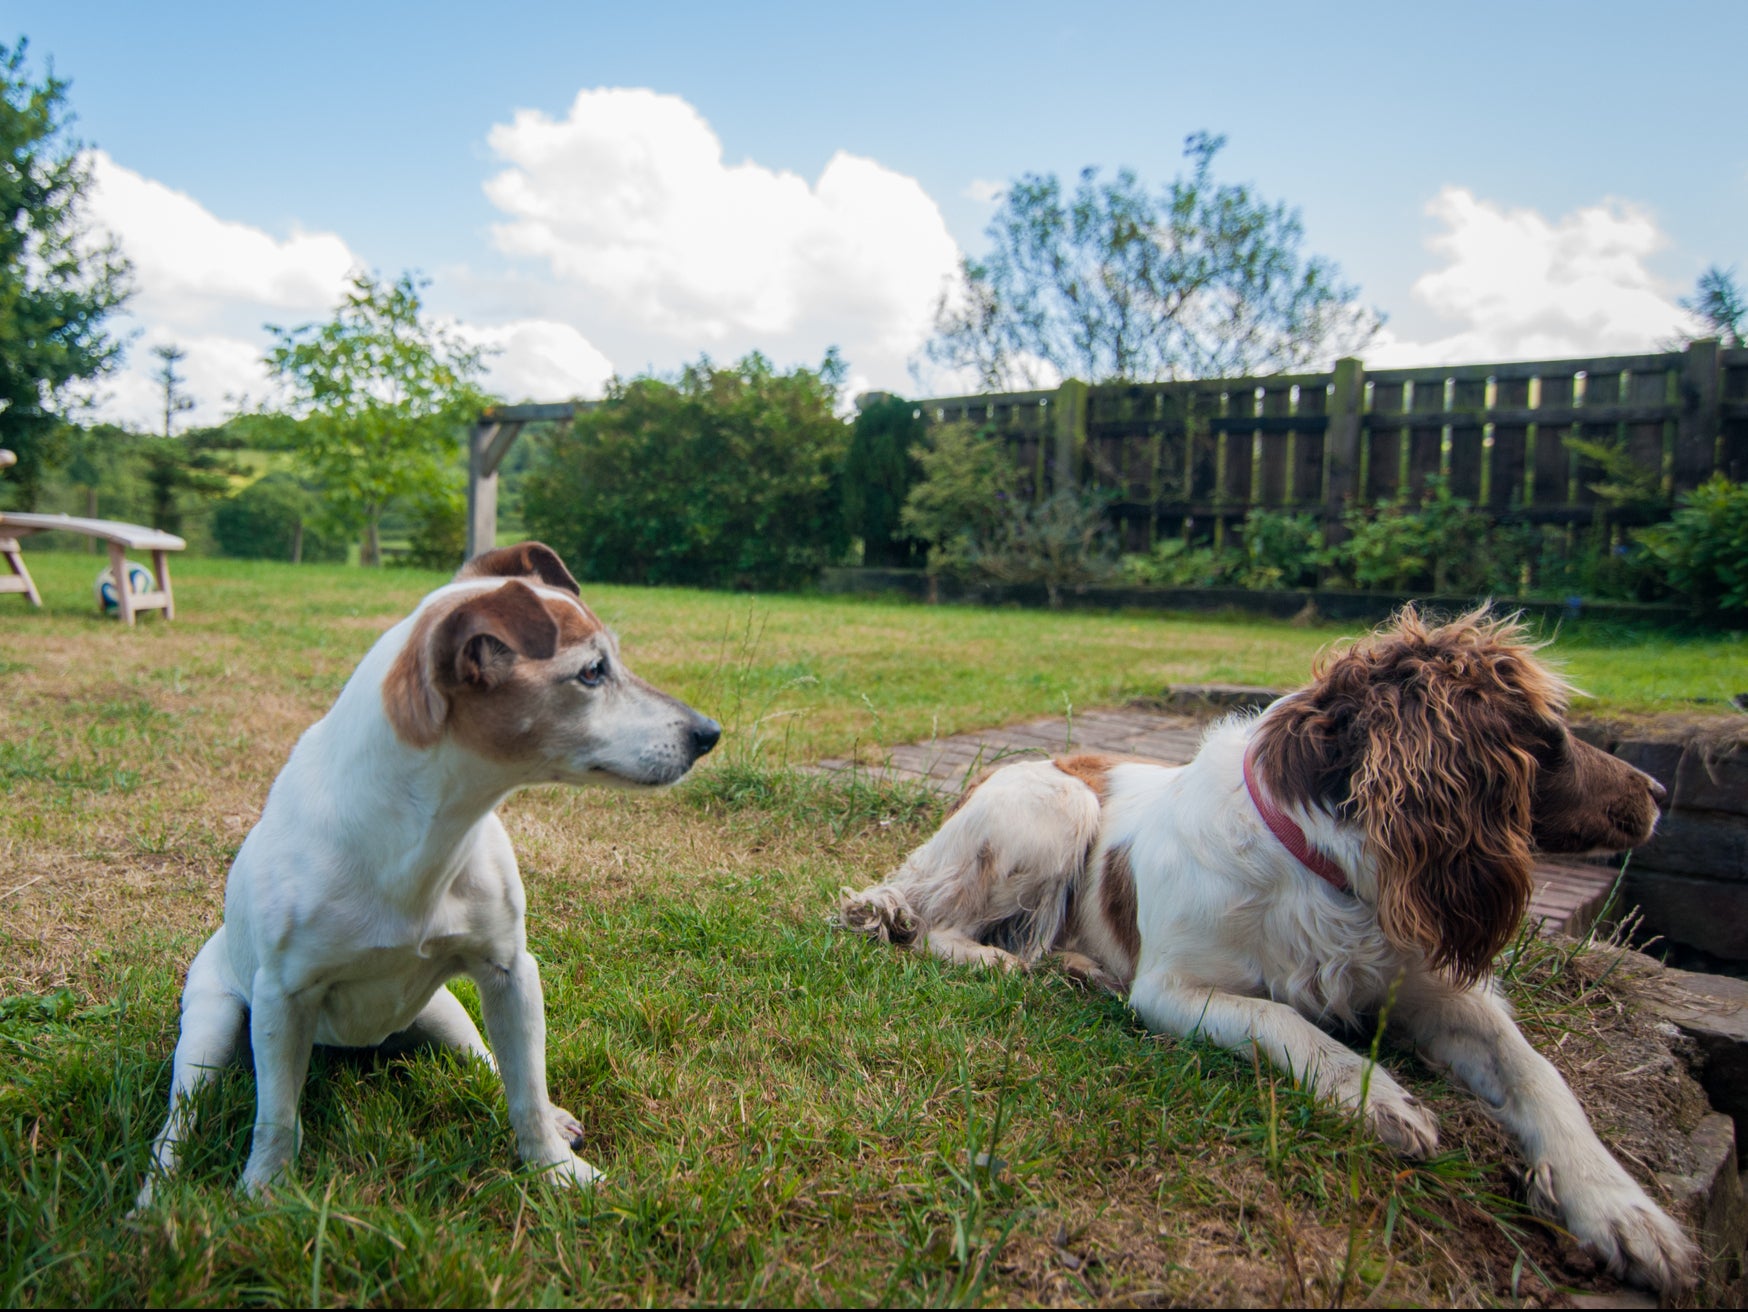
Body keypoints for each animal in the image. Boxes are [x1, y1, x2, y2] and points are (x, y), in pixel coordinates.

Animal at [134, 538, 723, 1208]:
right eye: (592, 672)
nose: (709, 733)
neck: (428, 837)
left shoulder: (510, 972)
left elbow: (524, 1090)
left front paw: (555, 1171)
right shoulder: (283, 1001)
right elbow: (277, 1118)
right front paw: (265, 1194)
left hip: (446, 1011)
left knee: (490, 1060)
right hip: (211, 1027)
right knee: (180, 1118)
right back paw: (154, 1196)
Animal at [839, 611, 1699, 1299]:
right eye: (1547, 740)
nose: (1662, 793)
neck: (1326, 872)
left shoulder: (1435, 988)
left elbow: (1539, 1076)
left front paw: (1623, 1211)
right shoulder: (1173, 988)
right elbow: (1287, 1022)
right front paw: (1377, 1099)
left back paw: (1075, 968)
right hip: (1055, 806)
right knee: (934, 922)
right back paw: (1008, 963)